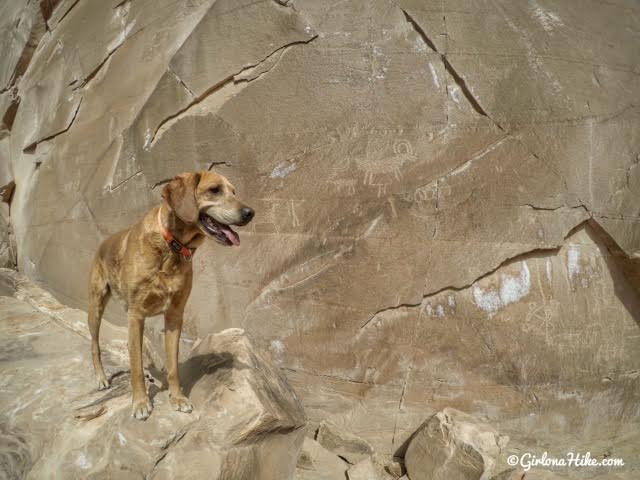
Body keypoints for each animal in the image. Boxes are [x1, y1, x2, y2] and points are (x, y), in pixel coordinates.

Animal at [87, 172, 252, 420]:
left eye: (234, 192)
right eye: (214, 190)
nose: (250, 213)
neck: (172, 246)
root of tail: (103, 244)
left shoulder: (175, 315)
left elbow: (173, 365)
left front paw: (178, 398)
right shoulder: (136, 314)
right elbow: (136, 368)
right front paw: (140, 403)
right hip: (96, 307)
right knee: (95, 345)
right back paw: (101, 378)